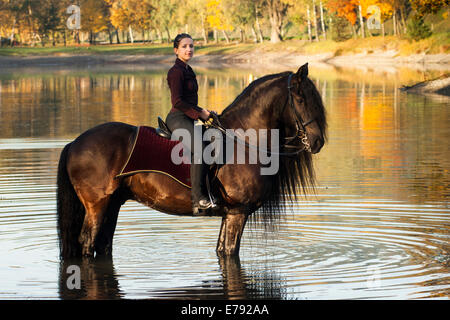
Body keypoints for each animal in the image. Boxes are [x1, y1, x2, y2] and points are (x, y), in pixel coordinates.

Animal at [57, 63, 326, 258]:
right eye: (301, 100)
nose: (317, 141)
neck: (244, 139)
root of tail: (74, 143)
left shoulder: (229, 215)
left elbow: (222, 253)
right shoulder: (238, 213)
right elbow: (230, 252)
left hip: (112, 205)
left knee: (102, 245)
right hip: (97, 205)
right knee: (87, 243)